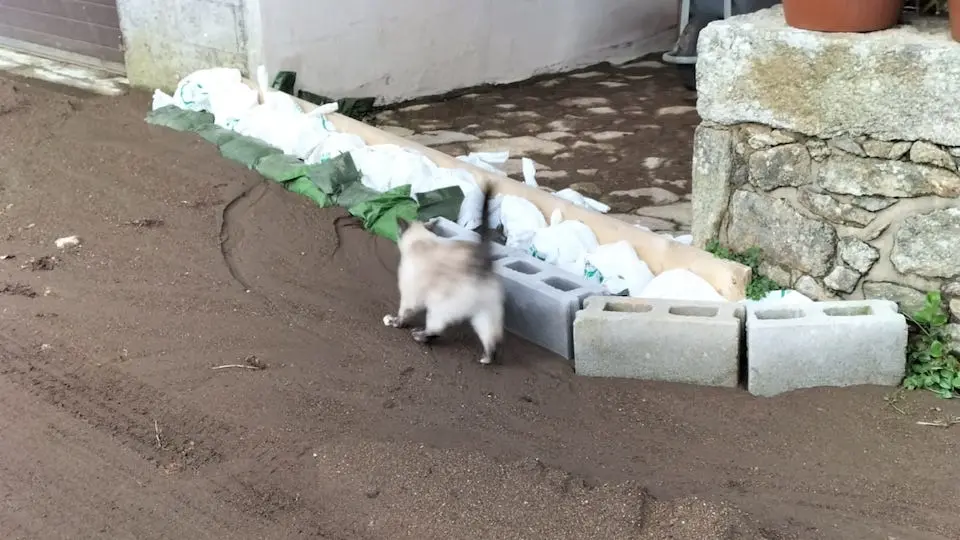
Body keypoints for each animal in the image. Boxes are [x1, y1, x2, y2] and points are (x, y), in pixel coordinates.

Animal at [380, 184, 506, 364]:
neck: (421, 241)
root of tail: (480, 262)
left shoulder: (410, 295)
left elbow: (404, 313)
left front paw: (395, 322)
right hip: (485, 312)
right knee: (491, 339)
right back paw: (486, 359)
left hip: (439, 306)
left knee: (436, 329)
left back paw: (418, 335)